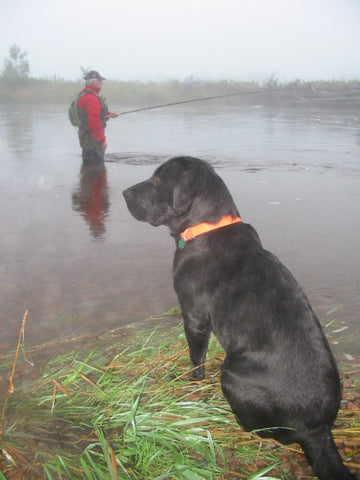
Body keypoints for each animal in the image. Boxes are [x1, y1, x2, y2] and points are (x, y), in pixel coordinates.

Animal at [122, 157, 356, 480]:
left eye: (158, 180)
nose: (123, 193)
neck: (206, 227)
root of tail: (317, 430)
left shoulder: (194, 314)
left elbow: (196, 358)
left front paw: (190, 380)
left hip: (231, 372)